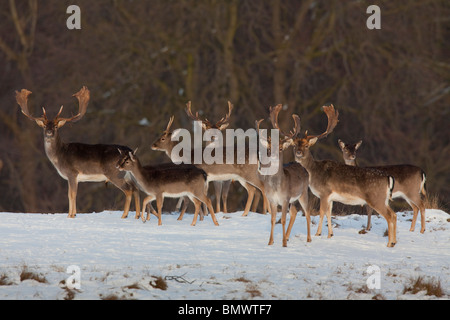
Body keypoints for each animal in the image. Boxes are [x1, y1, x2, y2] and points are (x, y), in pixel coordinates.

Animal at [15, 86, 139, 219]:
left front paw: (71, 215)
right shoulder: (73, 177)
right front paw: (72, 214)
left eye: (56, 127)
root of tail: (130, 151)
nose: (49, 133)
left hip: (115, 173)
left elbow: (71, 195)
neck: (60, 155)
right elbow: (71, 194)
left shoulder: (72, 173)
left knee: (128, 190)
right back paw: (137, 215)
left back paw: (124, 215)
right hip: (128, 175)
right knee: (136, 189)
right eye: (44, 126)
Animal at [255, 104, 312, 246]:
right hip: (294, 199)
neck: (276, 186)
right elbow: (272, 219)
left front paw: (284, 245)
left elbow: (283, 220)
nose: (273, 155)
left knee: (307, 212)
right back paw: (287, 237)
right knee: (295, 212)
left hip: (303, 192)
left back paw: (309, 239)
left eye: (281, 148)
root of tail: (303, 167)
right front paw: (270, 242)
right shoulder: (272, 199)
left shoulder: (285, 198)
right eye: (269, 148)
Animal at [288, 105, 398, 248]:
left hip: (376, 198)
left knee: (389, 216)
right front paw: (330, 234)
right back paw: (394, 242)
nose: (298, 153)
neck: (313, 172)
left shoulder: (324, 193)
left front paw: (317, 234)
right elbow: (328, 213)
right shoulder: (331, 197)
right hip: (384, 199)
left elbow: (321, 212)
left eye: (306, 145)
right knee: (394, 215)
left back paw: (389, 243)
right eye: (295, 145)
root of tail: (388, 178)